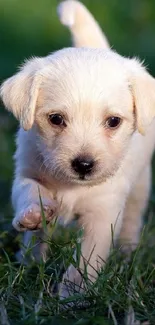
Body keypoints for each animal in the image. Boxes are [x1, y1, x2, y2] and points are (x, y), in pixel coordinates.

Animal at [0, 1, 155, 298]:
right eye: (56, 119)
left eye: (113, 121)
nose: (83, 165)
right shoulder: (26, 171)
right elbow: (29, 191)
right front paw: (33, 213)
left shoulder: (103, 214)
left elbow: (87, 258)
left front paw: (73, 294)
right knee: (36, 240)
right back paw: (29, 260)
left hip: (141, 185)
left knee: (133, 218)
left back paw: (127, 252)